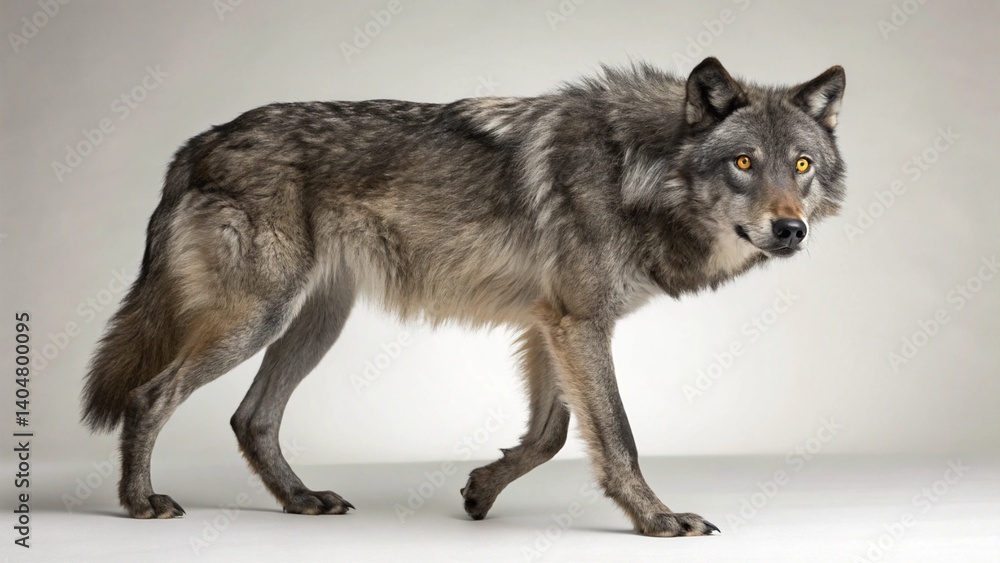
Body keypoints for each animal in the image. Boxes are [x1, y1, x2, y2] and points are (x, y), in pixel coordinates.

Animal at [81, 57, 845, 536]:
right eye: (743, 162)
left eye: (801, 165)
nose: (791, 229)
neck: (636, 170)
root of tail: (196, 144)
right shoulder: (580, 325)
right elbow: (617, 438)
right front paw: (658, 520)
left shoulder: (552, 327)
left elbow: (551, 434)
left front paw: (481, 489)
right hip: (258, 319)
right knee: (152, 395)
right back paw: (140, 502)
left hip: (314, 323)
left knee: (251, 418)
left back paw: (300, 500)